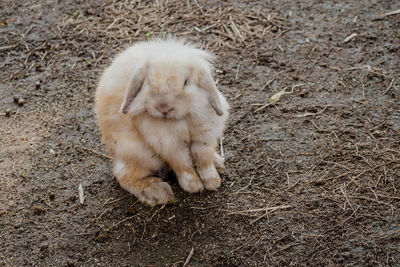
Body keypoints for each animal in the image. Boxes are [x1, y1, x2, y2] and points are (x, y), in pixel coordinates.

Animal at [95, 39, 230, 207]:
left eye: (186, 82)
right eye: (148, 82)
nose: (163, 107)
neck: (180, 119)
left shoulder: (204, 137)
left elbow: (204, 159)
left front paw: (212, 182)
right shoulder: (169, 145)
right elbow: (183, 164)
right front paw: (193, 186)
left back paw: (218, 162)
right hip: (138, 154)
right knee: (125, 175)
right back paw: (158, 192)